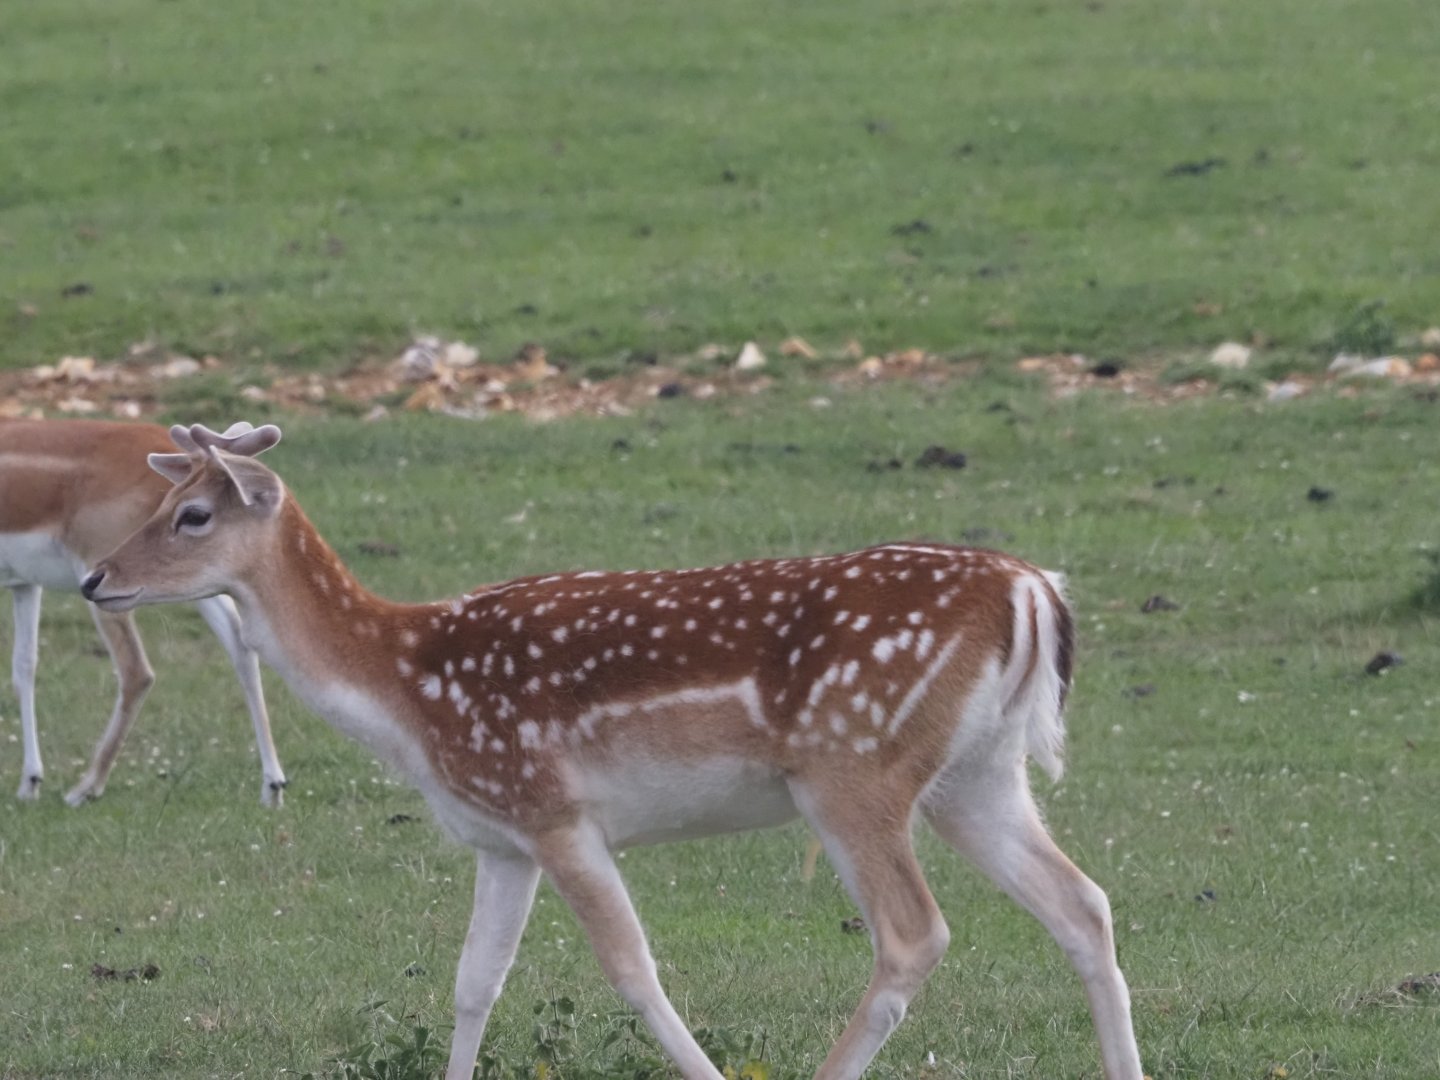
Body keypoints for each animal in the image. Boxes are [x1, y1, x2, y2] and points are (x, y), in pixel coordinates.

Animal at [0, 418, 287, 806]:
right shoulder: (25, 584)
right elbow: (24, 666)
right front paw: (29, 782)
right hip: (196, 580)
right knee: (240, 643)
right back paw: (273, 786)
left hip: (101, 578)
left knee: (137, 671)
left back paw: (85, 788)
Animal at [82, 421, 1145, 1080]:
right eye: (163, 502)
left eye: (192, 515)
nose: (95, 577)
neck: (406, 692)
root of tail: (1032, 593)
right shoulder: (500, 837)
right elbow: (473, 984)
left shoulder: (555, 809)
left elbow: (633, 971)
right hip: (978, 774)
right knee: (1083, 903)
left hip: (855, 768)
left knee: (916, 933)